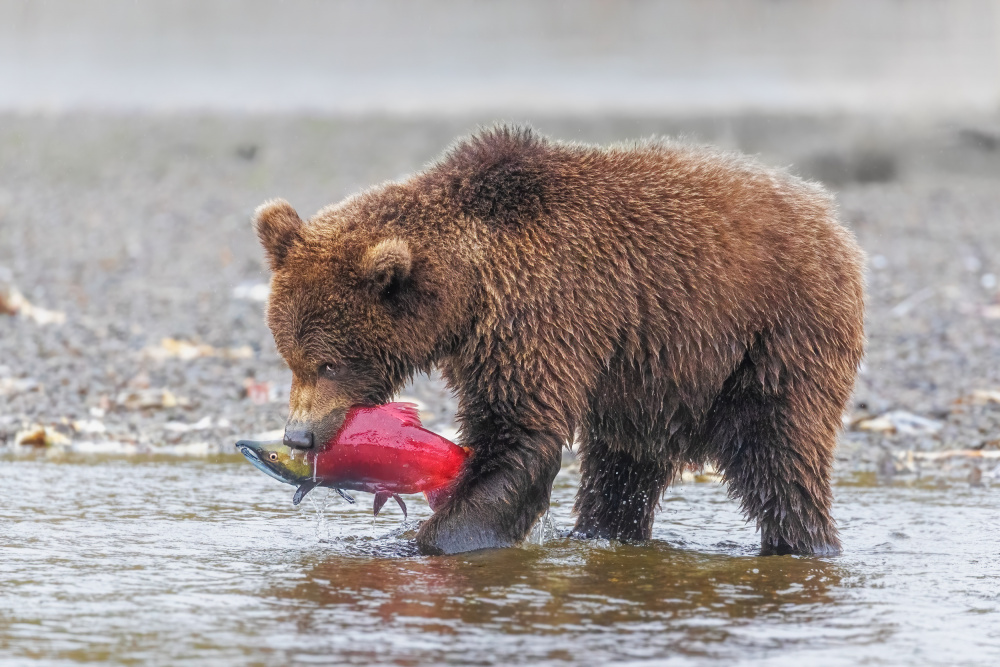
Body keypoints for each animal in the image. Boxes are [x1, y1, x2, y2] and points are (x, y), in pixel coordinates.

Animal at [254, 124, 864, 552]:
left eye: (330, 363)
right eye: (291, 357)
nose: (298, 435)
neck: (467, 292)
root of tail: (831, 219)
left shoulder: (538, 314)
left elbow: (520, 434)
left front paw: (431, 540)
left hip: (772, 336)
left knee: (779, 457)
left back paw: (803, 545)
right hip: (651, 376)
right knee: (623, 468)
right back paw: (602, 535)